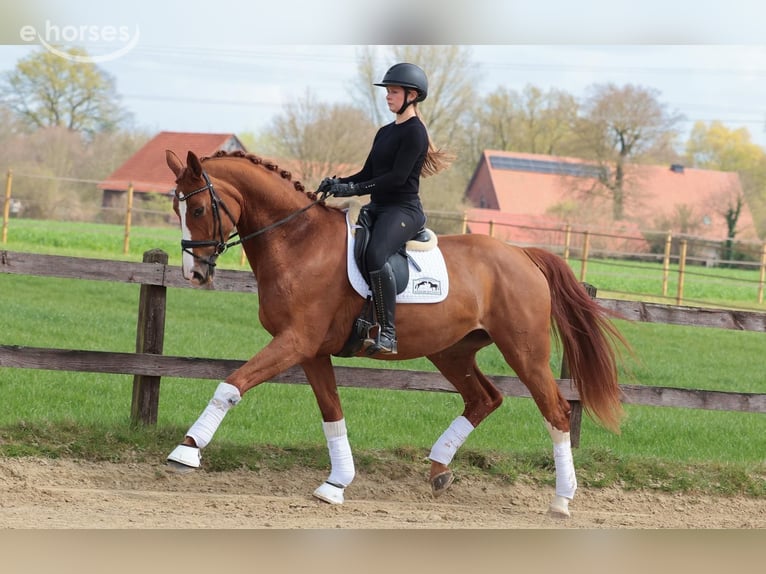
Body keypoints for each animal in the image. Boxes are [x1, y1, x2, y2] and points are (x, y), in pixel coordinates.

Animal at [164, 149, 628, 517]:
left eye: (199, 210)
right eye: (176, 210)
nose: (194, 273)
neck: (297, 240)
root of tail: (523, 255)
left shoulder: (295, 341)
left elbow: (231, 385)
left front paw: (187, 450)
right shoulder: (311, 350)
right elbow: (331, 412)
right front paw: (336, 484)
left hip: (524, 351)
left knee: (556, 411)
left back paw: (562, 500)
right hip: (451, 351)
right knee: (484, 398)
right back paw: (440, 471)